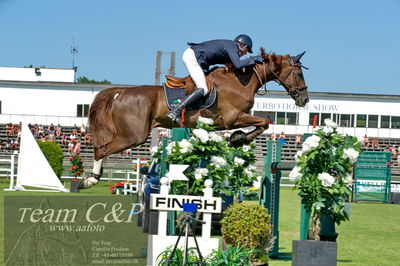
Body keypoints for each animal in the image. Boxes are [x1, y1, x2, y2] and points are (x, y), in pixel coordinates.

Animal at [78, 48, 310, 189]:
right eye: (299, 73)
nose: (305, 99)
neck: (240, 81)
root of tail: (122, 91)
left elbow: (263, 124)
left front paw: (236, 138)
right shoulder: (232, 118)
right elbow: (264, 123)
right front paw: (238, 138)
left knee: (104, 147)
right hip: (134, 136)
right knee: (101, 148)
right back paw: (89, 180)